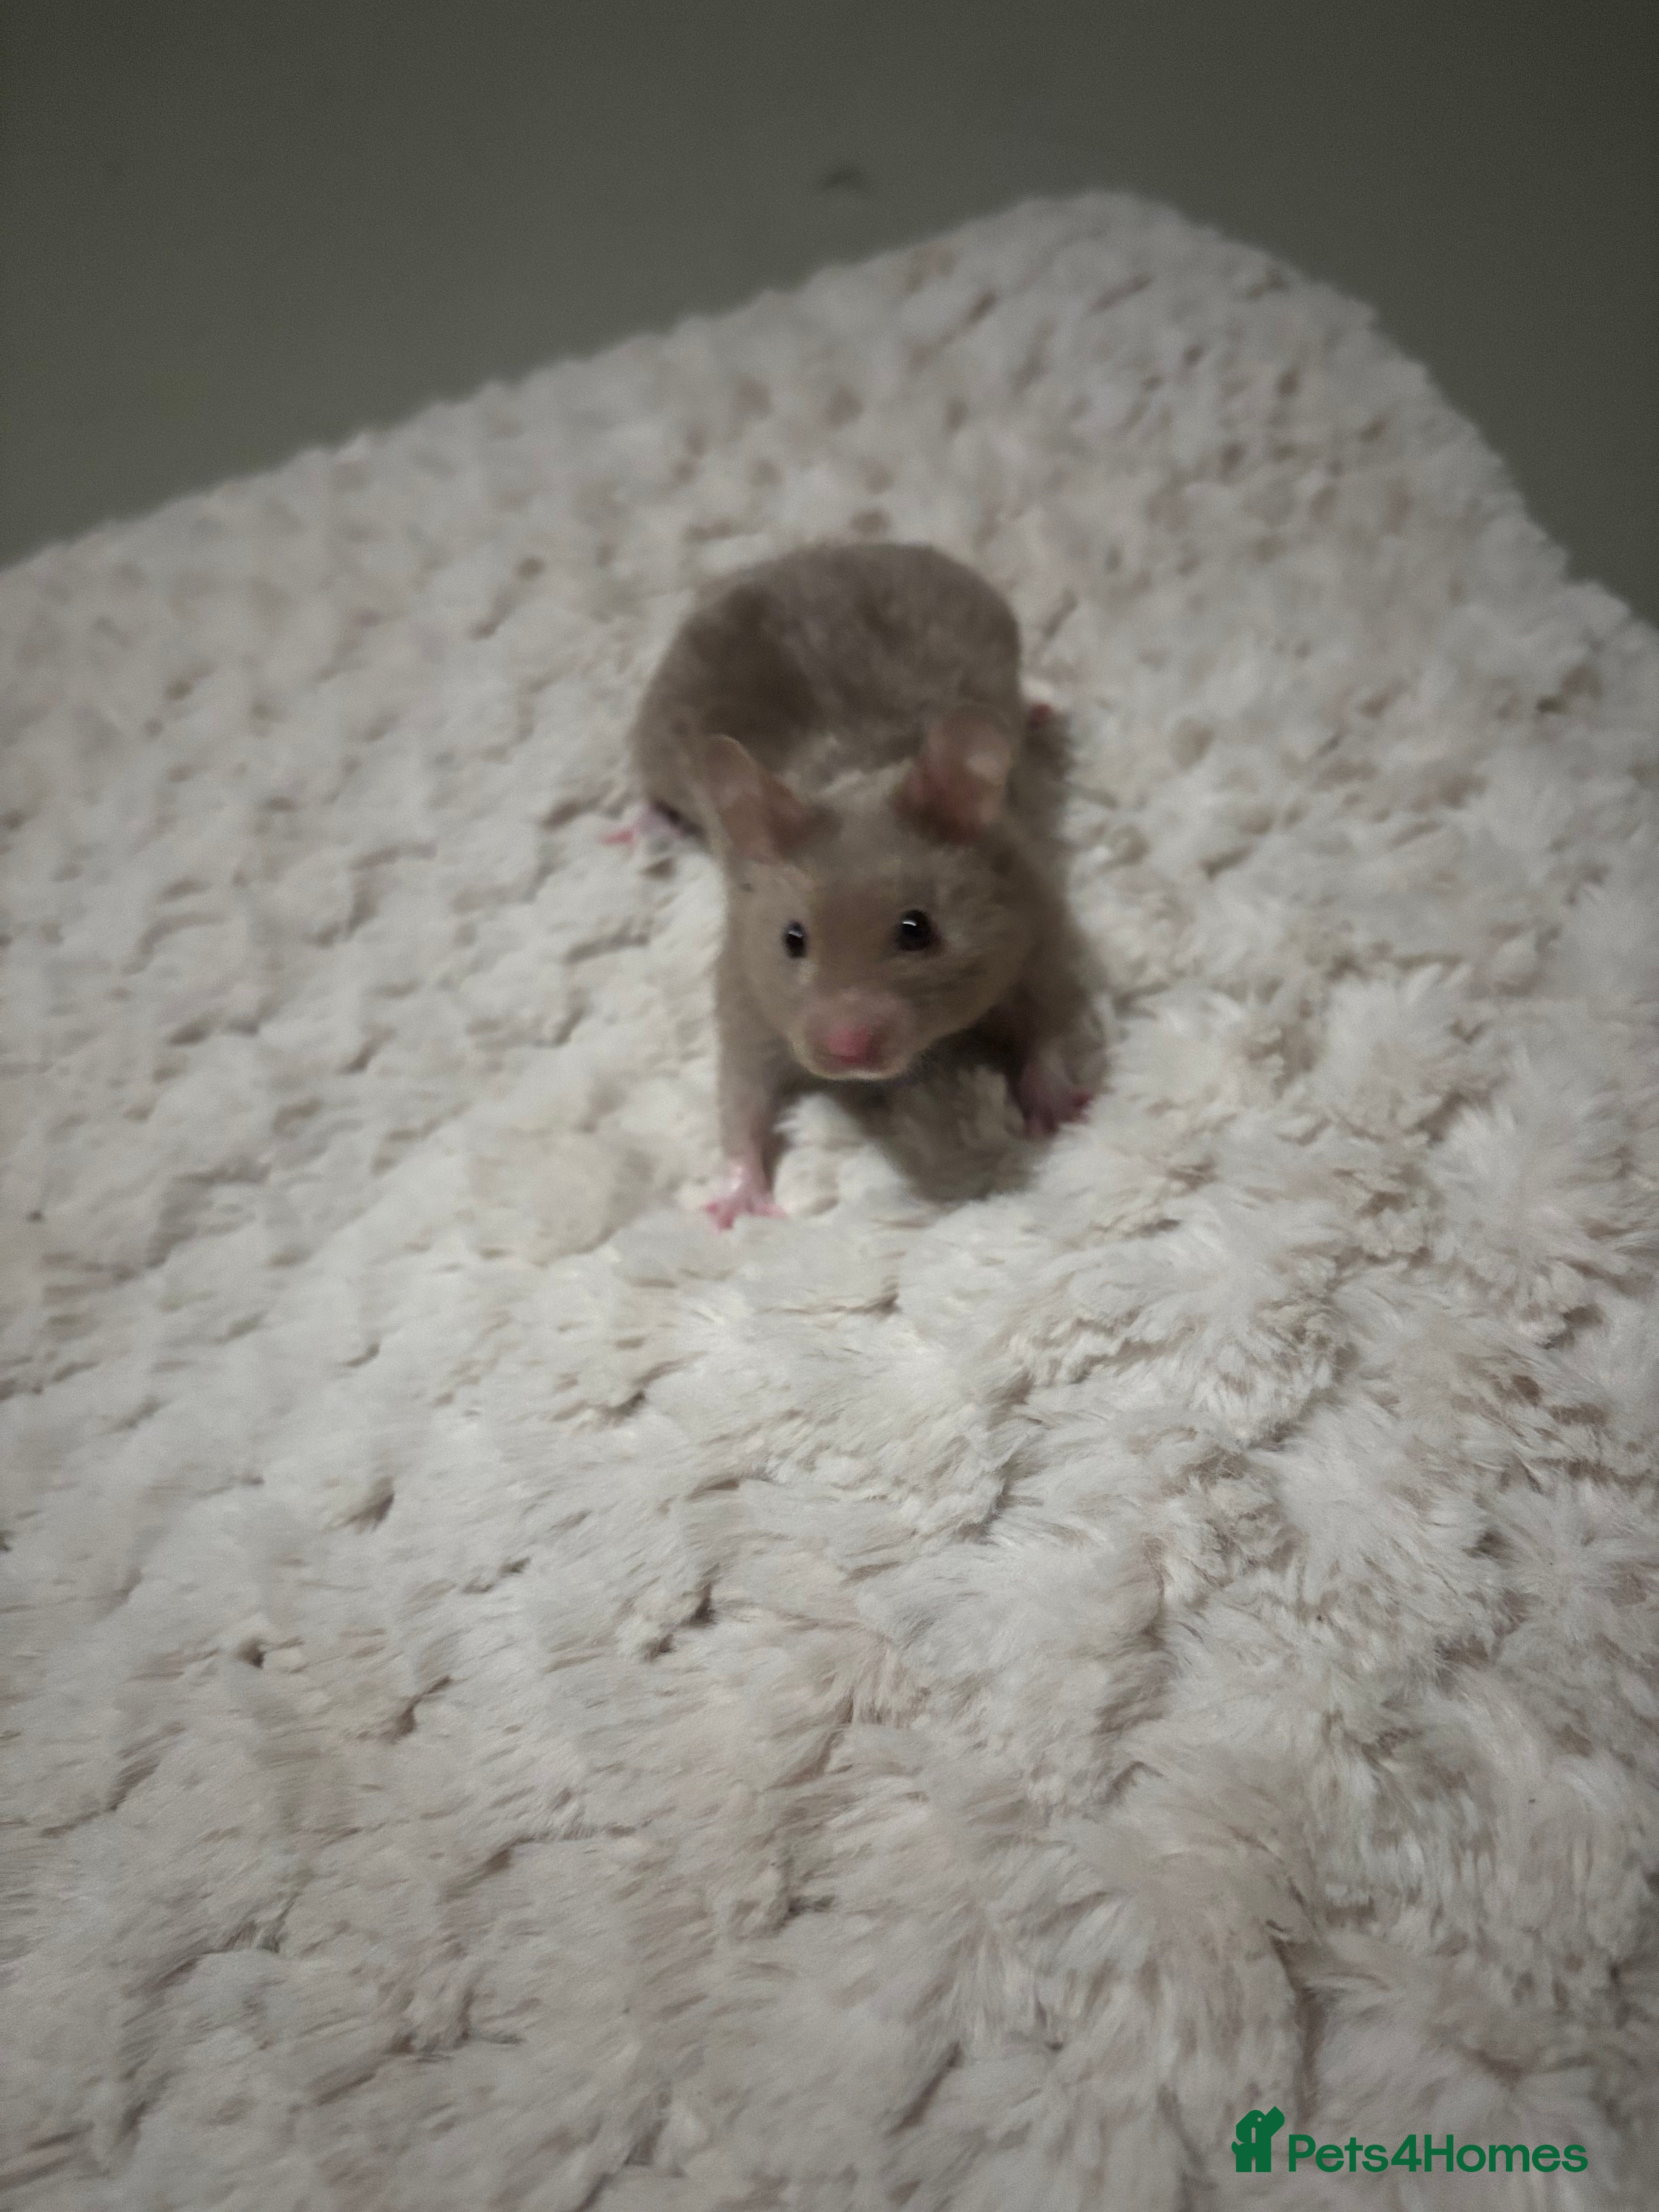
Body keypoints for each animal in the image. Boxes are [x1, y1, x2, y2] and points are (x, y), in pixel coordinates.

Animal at [621, 541, 1092, 1225]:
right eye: (792, 940)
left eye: (917, 930)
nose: (845, 1051)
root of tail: (821, 553)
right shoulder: (746, 987)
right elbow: (740, 1092)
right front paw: (736, 1207)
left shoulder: (1037, 925)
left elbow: (1050, 1022)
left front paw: (1056, 1115)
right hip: (657, 738)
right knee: (654, 793)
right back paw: (643, 828)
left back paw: (1039, 707)